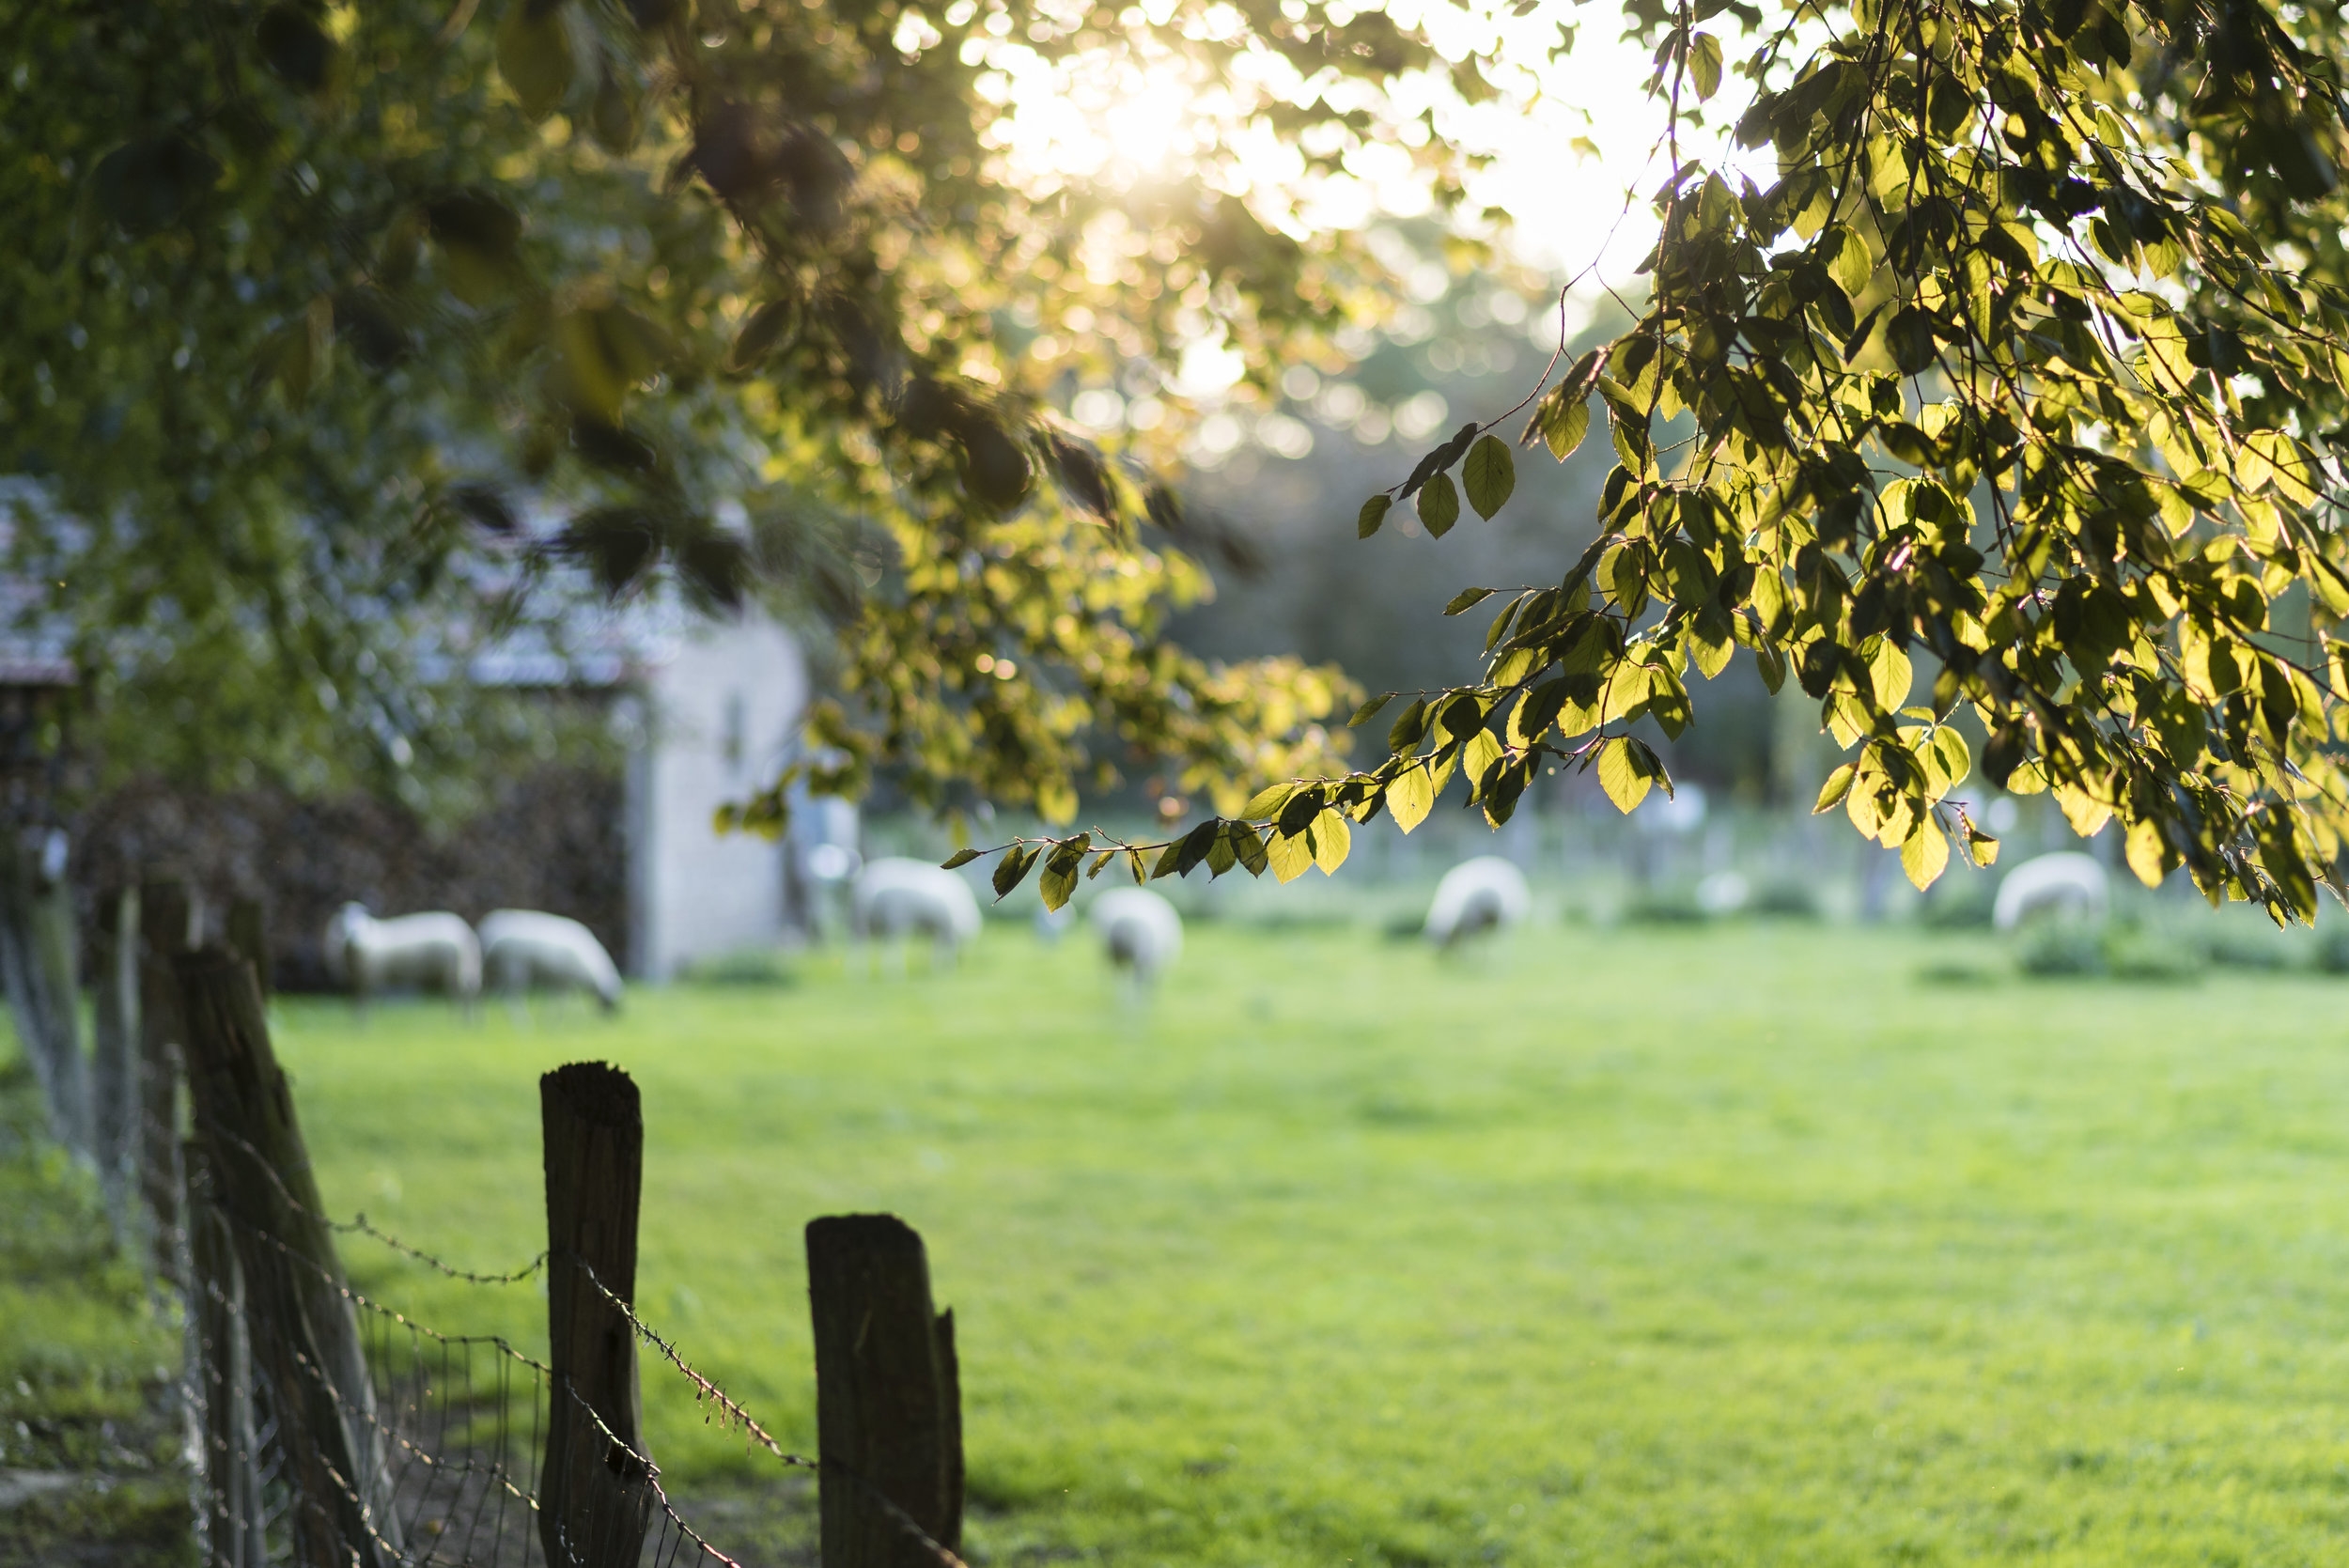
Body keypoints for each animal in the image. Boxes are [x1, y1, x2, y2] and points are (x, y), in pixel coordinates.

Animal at [324, 901, 479, 1009]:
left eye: (361, 919)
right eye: (344, 921)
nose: (354, 935)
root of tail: (464, 929)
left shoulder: (369, 978)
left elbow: (363, 1005)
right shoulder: (358, 980)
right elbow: (357, 1005)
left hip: (453, 970)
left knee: (462, 995)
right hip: (464, 968)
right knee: (469, 991)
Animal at [476, 906, 620, 1018]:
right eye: (610, 1003)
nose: (612, 1020)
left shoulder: (558, 980)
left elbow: (562, 999)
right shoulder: (561, 980)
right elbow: (560, 1000)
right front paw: (554, 1019)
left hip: (499, 972)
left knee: (493, 994)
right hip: (514, 969)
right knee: (511, 997)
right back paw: (522, 1022)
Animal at [855, 859, 982, 967]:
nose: (961, 960)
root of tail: (872, 892)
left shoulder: (936, 928)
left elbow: (936, 946)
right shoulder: (944, 927)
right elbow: (942, 947)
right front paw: (944, 966)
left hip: (861, 921)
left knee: (860, 945)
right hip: (895, 921)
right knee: (892, 947)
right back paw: (895, 969)